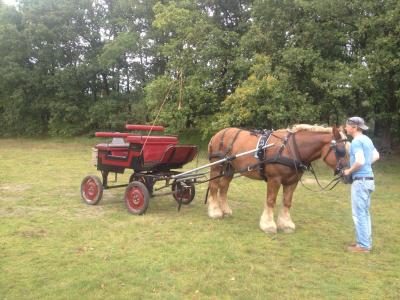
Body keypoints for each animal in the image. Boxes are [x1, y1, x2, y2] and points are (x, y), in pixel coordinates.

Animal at [208, 124, 348, 234]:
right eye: (341, 150)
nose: (348, 174)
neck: (290, 149)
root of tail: (217, 134)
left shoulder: (292, 182)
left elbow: (287, 202)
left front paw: (286, 224)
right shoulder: (274, 179)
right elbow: (271, 201)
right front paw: (268, 225)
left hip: (230, 168)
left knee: (224, 187)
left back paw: (225, 210)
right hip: (217, 166)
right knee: (214, 186)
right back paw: (215, 211)